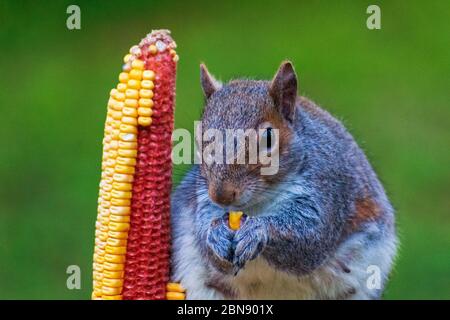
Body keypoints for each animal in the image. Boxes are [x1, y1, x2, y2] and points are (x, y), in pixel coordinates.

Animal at [170, 61, 398, 298]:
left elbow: (310, 237)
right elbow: (206, 236)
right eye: (200, 137)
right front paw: (216, 235)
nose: (221, 195)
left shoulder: (327, 187)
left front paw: (257, 230)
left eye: (269, 138)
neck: (258, 204)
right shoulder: (203, 199)